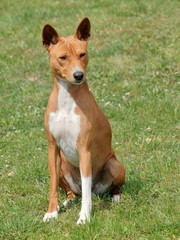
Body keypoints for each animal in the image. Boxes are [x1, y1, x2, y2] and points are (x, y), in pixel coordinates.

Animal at [41, 17, 125, 225]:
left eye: (82, 54)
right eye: (62, 57)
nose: (79, 75)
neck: (67, 101)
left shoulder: (84, 149)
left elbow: (86, 193)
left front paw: (84, 217)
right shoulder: (52, 148)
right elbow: (53, 186)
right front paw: (51, 212)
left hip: (115, 165)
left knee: (100, 190)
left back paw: (116, 197)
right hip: (62, 165)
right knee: (74, 192)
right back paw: (67, 202)